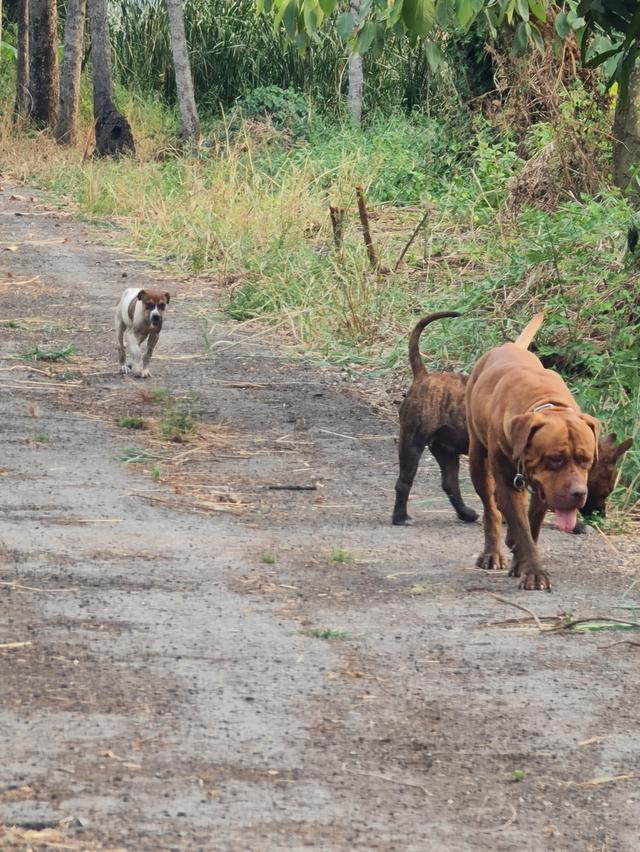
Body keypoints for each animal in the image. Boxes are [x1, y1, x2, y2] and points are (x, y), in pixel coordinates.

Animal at [390, 312, 476, 524]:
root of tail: (423, 375)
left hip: (445, 451)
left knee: (450, 483)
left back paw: (466, 514)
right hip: (412, 443)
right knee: (404, 482)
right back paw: (400, 517)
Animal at [464, 314, 600, 592]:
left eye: (586, 460)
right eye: (555, 459)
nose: (579, 494)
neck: (545, 405)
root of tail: (510, 346)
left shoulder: (546, 490)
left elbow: (532, 526)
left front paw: (522, 562)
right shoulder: (511, 483)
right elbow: (521, 526)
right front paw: (534, 572)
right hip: (478, 459)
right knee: (491, 508)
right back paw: (492, 553)